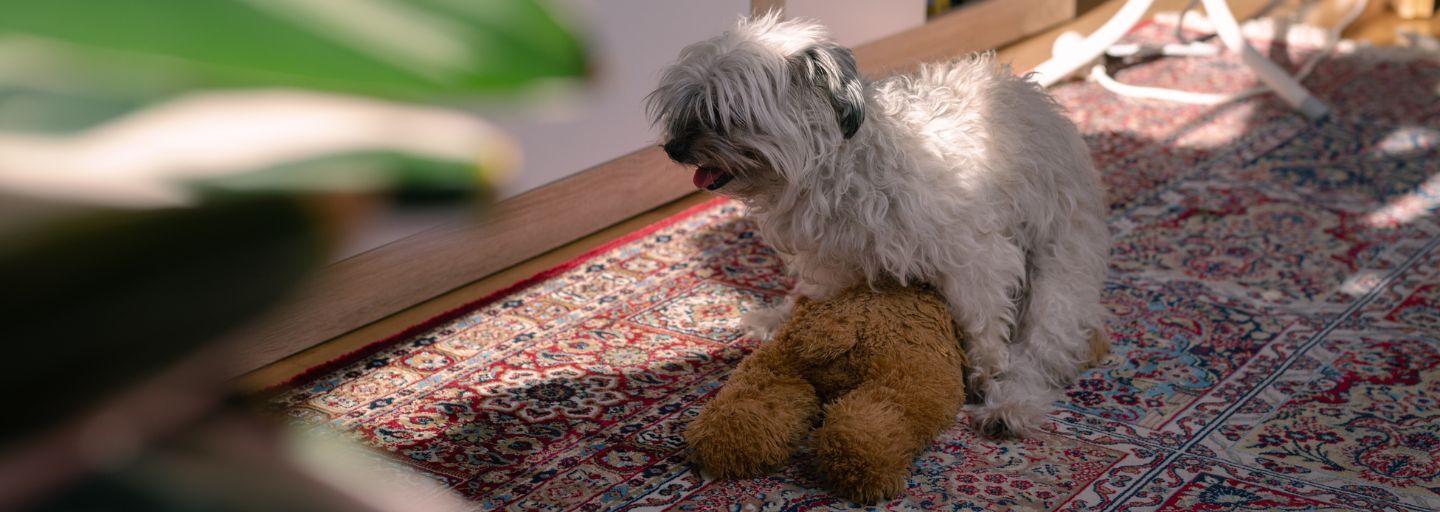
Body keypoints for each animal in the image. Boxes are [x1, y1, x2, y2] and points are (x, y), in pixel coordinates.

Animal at [653, 13, 1111, 437]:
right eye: (686, 104)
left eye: (720, 111)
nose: (673, 149)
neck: (840, 163)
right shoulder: (832, 261)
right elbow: (816, 297)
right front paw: (782, 319)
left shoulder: (975, 258)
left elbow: (983, 323)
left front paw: (987, 370)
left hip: (1058, 269)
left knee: (1045, 347)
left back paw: (1010, 406)